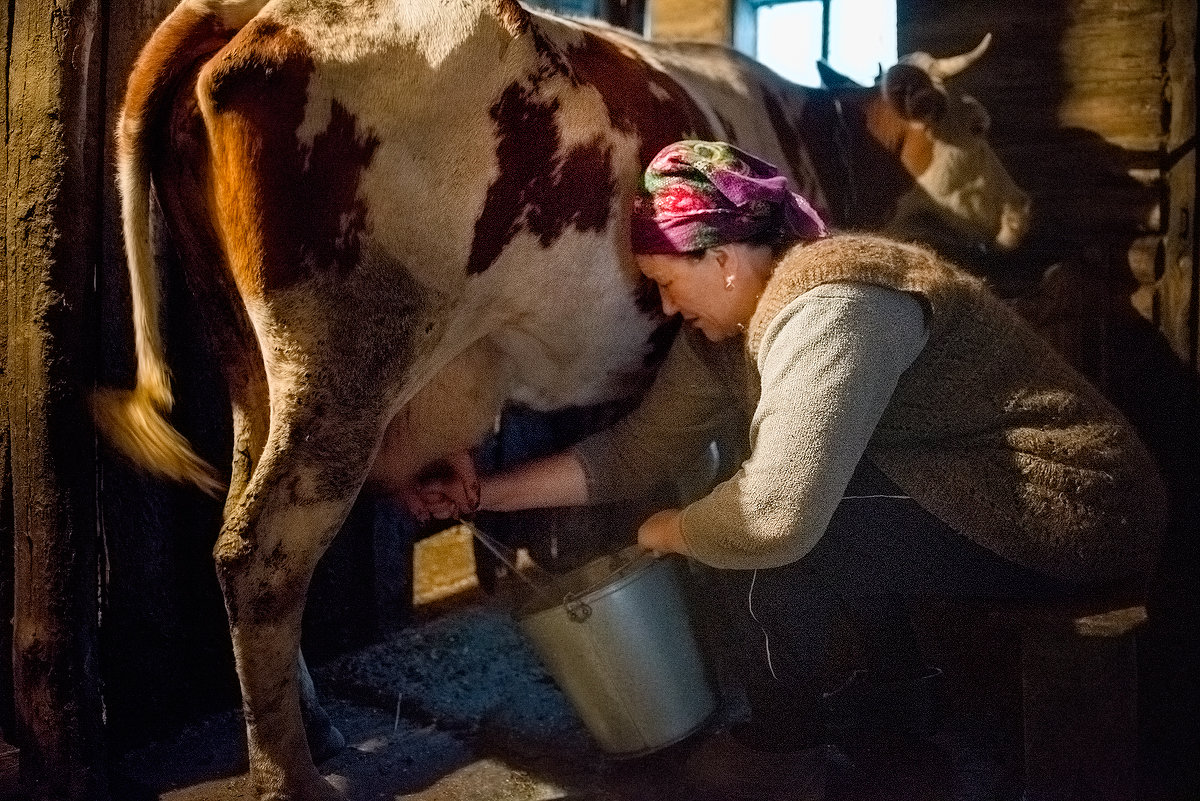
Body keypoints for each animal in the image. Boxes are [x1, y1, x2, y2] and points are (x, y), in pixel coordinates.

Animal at [96, 3, 1032, 796]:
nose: (1025, 215)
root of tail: (245, 17)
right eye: (978, 125)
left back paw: (315, 728)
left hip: (250, 365)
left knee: (233, 523)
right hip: (345, 364)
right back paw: (291, 776)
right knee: (261, 554)